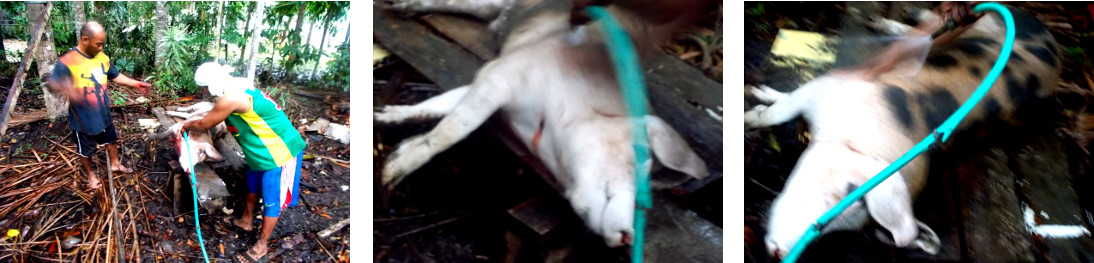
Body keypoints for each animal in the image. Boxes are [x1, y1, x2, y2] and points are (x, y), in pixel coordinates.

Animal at [380, 0, 713, 246]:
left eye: (644, 203)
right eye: (638, 157)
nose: (627, 236)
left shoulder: (492, 84)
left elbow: (446, 104)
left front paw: (383, 116)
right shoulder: (504, 74)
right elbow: (458, 126)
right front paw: (391, 174)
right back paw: (396, 10)